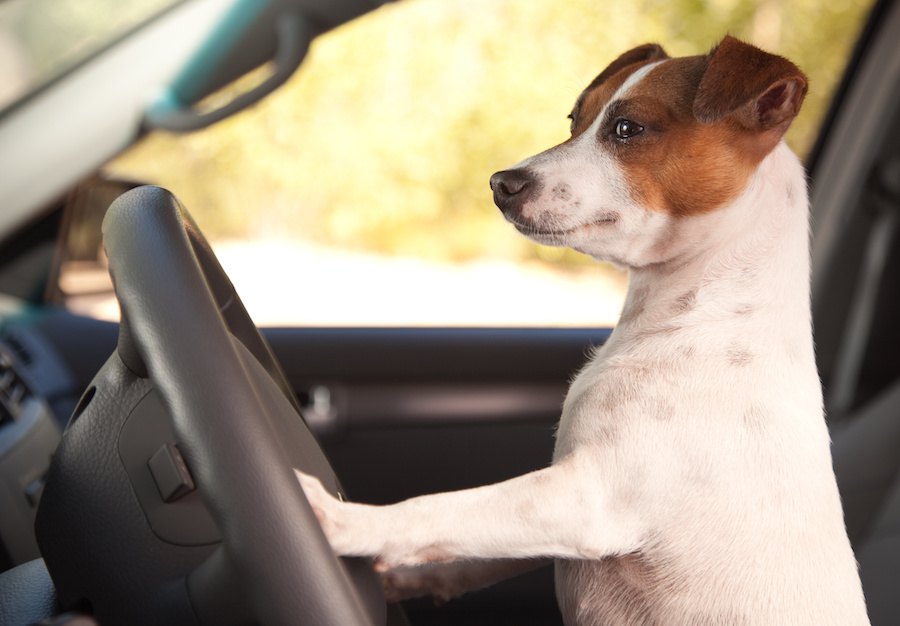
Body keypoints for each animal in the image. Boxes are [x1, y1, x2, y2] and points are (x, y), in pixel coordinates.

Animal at [298, 36, 872, 620]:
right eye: (575, 119)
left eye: (627, 128)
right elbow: (467, 548)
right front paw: (400, 579)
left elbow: (440, 509)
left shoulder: (586, 499)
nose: (500, 183)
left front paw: (342, 520)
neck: (696, 315)